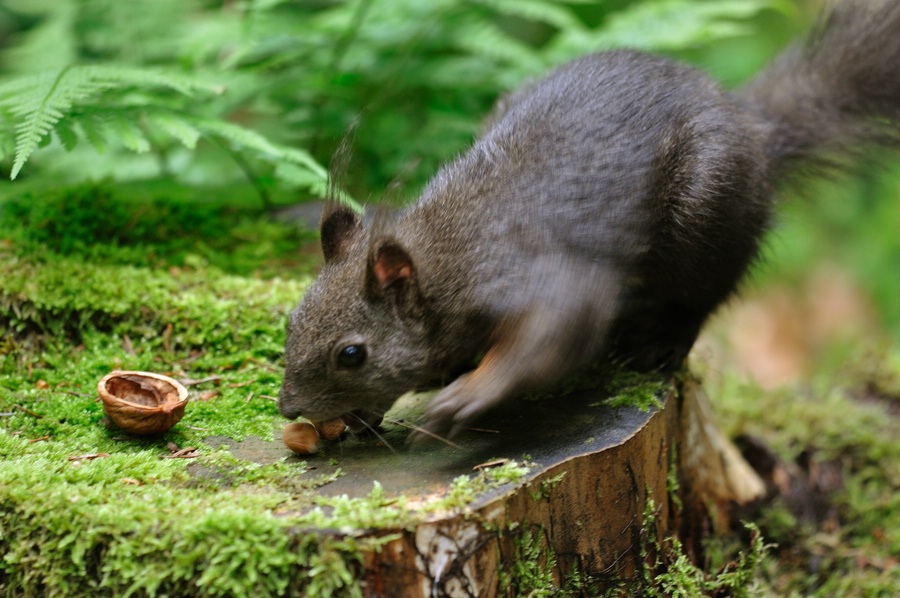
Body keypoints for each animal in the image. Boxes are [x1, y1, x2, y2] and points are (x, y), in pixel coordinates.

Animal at [278, 1, 900, 441]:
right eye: (291, 321)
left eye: (351, 355)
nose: (288, 408)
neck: (440, 259)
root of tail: (753, 125)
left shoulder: (529, 275)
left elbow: (558, 329)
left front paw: (471, 393)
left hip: (706, 208)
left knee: (702, 294)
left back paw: (661, 341)